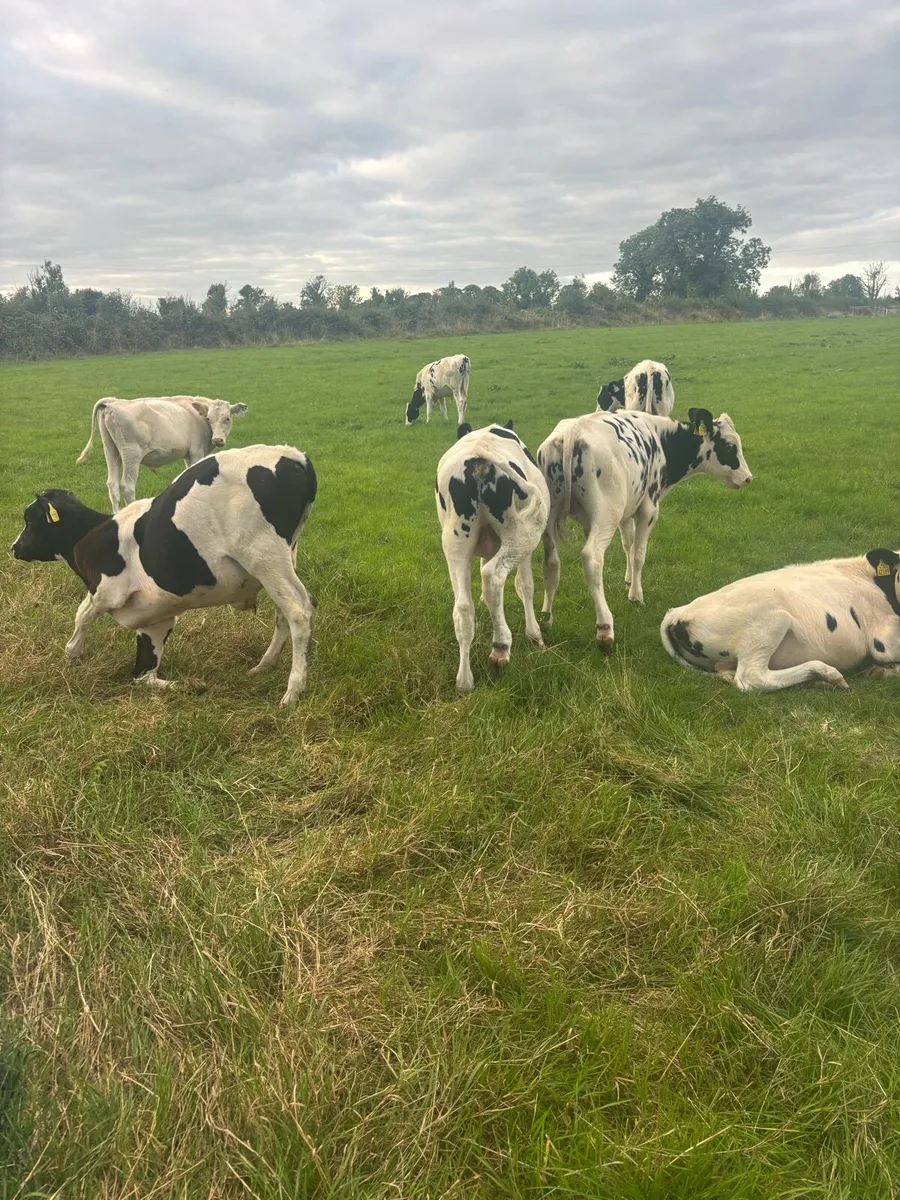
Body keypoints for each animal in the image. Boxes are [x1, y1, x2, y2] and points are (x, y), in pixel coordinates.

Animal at [11, 445, 317, 705]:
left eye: (30, 521)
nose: (14, 547)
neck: (92, 534)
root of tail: (293, 455)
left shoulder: (105, 591)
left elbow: (82, 615)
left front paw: (72, 655)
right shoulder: (156, 621)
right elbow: (142, 675)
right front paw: (190, 685)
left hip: (264, 557)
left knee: (299, 611)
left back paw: (293, 691)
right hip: (282, 560)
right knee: (283, 614)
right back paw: (264, 665)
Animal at [77, 395, 249, 511]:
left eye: (227, 418)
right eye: (209, 419)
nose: (218, 439)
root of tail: (112, 402)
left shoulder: (188, 455)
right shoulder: (196, 452)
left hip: (111, 451)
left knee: (112, 485)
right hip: (131, 454)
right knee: (127, 486)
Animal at [436, 421, 550, 691]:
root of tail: (479, 459)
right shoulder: (526, 552)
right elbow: (525, 586)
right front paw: (534, 636)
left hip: (455, 544)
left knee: (463, 607)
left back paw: (464, 680)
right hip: (522, 536)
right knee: (492, 577)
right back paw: (501, 646)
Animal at [537, 408, 752, 647]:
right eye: (730, 446)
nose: (748, 478)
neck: (661, 439)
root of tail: (571, 433)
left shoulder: (625, 513)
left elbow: (628, 545)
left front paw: (629, 579)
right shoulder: (648, 510)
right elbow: (639, 554)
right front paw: (635, 595)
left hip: (551, 518)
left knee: (552, 562)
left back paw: (546, 618)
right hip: (606, 516)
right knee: (592, 558)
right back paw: (605, 626)